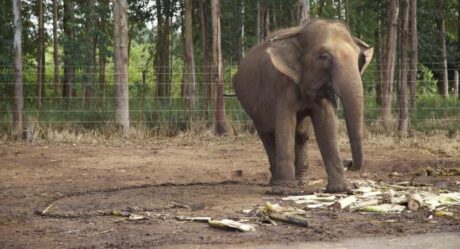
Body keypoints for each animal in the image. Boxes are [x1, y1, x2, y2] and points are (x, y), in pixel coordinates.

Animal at [234, 19, 374, 195]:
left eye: (359, 58)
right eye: (324, 57)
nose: (348, 163)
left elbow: (326, 124)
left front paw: (341, 189)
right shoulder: (280, 86)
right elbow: (285, 125)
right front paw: (284, 191)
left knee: (301, 134)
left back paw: (300, 182)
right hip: (253, 109)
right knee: (268, 136)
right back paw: (276, 182)